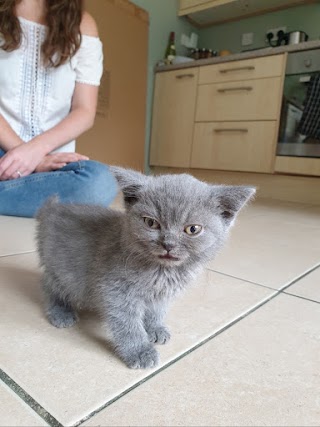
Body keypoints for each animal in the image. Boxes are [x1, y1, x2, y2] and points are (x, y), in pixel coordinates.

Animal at [35, 169, 255, 370]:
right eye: (151, 223)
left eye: (192, 229)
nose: (168, 244)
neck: (162, 271)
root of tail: (52, 210)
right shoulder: (116, 291)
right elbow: (128, 323)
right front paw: (139, 351)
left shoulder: (163, 294)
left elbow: (157, 310)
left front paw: (155, 328)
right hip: (62, 269)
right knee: (49, 285)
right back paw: (61, 311)